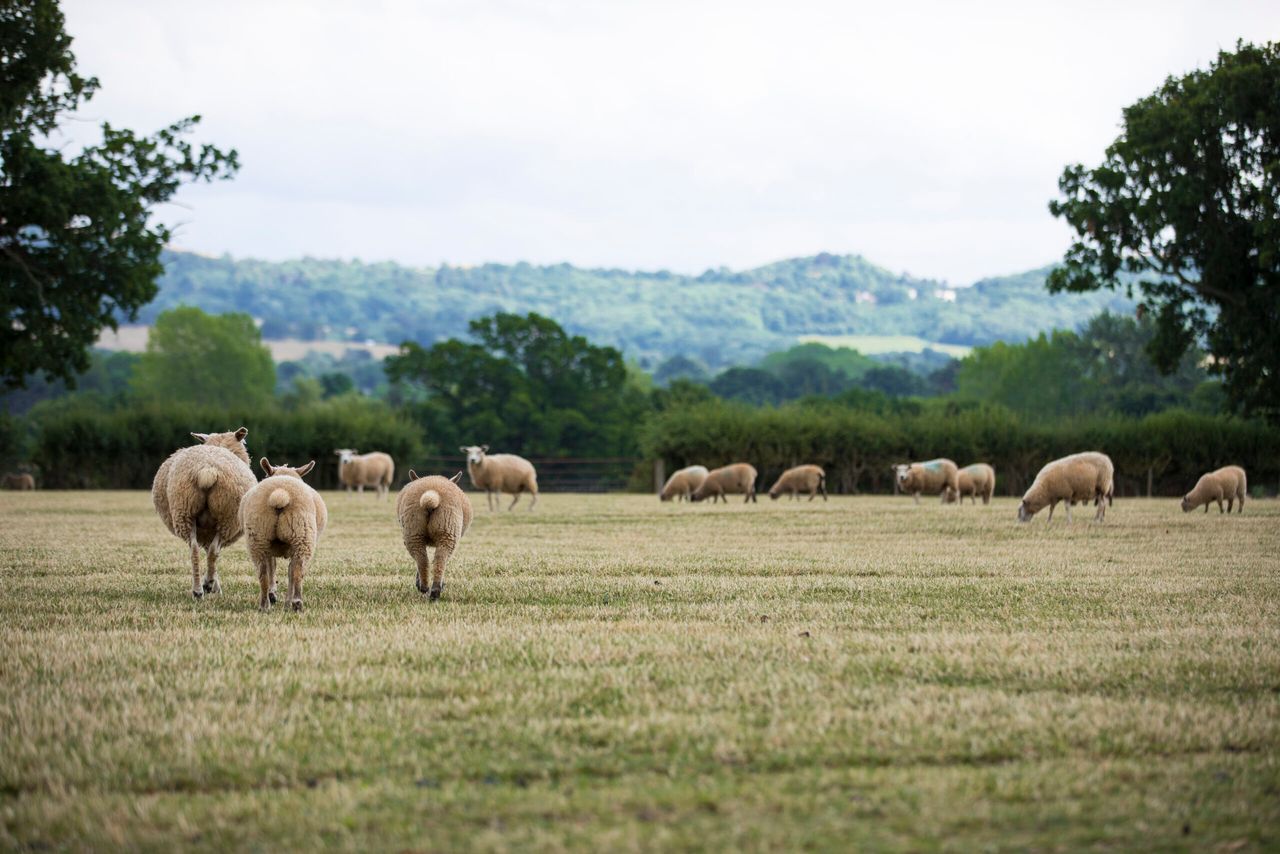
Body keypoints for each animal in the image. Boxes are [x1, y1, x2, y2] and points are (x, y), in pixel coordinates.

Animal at [152, 428, 258, 599]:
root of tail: (207, 471)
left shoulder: (206, 532)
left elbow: (208, 553)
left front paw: (213, 584)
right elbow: (213, 553)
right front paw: (214, 586)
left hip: (185, 512)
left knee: (194, 550)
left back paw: (197, 591)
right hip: (227, 517)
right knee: (214, 551)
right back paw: (205, 585)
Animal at [240, 458, 328, 611]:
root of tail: (280, 494)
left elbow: (273, 567)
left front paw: (273, 595)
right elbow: (289, 572)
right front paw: (286, 602)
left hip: (258, 537)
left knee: (263, 573)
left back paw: (265, 605)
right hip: (302, 536)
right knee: (297, 570)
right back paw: (296, 603)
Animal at [397, 470, 474, 600]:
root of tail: (431, 496)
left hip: (415, 531)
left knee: (423, 559)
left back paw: (428, 589)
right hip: (448, 531)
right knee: (438, 560)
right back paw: (433, 589)